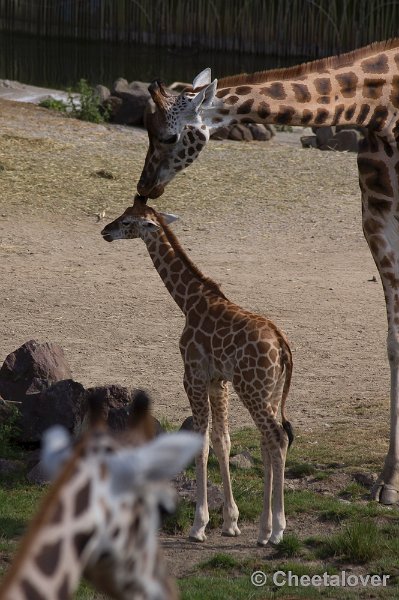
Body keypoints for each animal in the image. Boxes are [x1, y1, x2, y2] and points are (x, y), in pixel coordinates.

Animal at [101, 195, 294, 548]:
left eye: (127, 221)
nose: (105, 230)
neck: (188, 302)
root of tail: (284, 347)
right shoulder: (219, 381)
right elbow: (222, 440)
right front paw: (231, 522)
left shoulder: (192, 374)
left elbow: (200, 443)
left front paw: (199, 526)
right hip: (270, 393)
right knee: (269, 441)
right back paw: (263, 530)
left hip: (252, 390)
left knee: (278, 438)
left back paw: (277, 530)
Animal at [137, 39, 399, 504]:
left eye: (168, 135)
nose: (145, 186)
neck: (379, 107)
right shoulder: (378, 218)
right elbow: (393, 344)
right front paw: (388, 481)